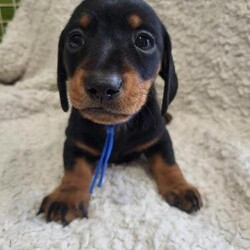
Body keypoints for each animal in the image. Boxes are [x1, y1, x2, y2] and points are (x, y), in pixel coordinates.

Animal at [38, 0, 202, 225]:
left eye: (144, 41)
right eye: (76, 39)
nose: (102, 86)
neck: (115, 127)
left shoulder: (159, 136)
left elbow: (168, 162)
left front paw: (180, 187)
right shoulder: (74, 142)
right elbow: (75, 168)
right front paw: (66, 196)